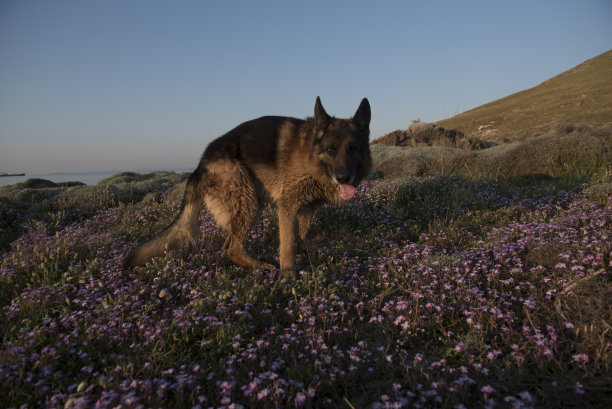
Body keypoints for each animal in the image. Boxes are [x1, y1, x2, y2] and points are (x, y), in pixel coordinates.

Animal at [123, 96, 372, 274]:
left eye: (353, 149)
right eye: (331, 149)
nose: (343, 178)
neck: (310, 153)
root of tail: (200, 165)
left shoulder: (307, 207)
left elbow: (301, 236)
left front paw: (307, 256)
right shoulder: (287, 206)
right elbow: (287, 244)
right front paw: (288, 275)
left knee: (227, 245)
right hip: (248, 199)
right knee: (233, 248)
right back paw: (259, 266)